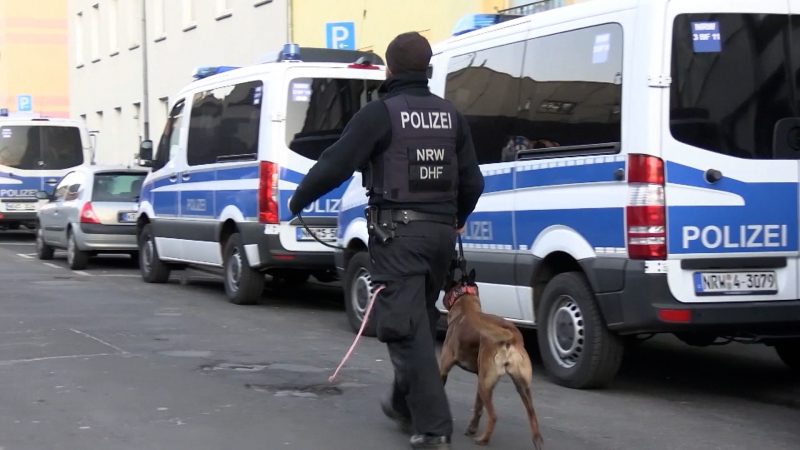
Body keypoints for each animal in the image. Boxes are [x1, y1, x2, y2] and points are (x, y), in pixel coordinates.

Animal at [438, 268, 544, 448]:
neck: (465, 307)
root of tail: (512, 335)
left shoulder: (444, 369)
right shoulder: (480, 377)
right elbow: (478, 406)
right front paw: (472, 428)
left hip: (486, 385)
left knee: (494, 416)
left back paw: (483, 439)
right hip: (519, 386)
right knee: (532, 415)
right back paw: (537, 441)